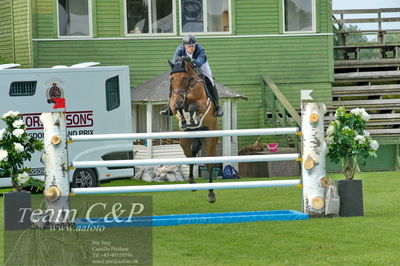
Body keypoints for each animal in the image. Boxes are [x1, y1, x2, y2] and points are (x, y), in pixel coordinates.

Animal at [169, 57, 219, 204]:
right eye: (171, 79)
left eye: (185, 78)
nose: (179, 101)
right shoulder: (173, 103)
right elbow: (178, 109)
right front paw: (185, 120)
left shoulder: (202, 103)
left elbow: (192, 107)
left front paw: (192, 118)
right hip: (184, 141)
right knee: (190, 155)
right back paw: (191, 181)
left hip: (210, 139)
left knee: (209, 165)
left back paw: (211, 194)